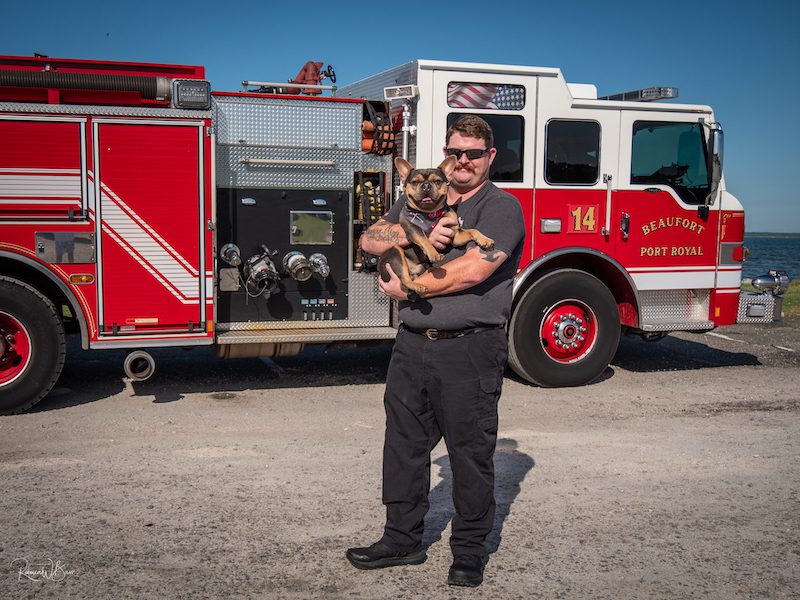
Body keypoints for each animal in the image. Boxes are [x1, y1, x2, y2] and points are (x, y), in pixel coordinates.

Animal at [376, 155, 494, 300]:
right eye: (415, 182)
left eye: (437, 181)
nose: (426, 185)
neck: (430, 214)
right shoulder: (413, 229)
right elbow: (424, 239)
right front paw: (434, 254)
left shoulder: (455, 236)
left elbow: (473, 230)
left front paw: (485, 239)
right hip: (395, 253)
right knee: (403, 281)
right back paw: (418, 285)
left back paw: (431, 271)